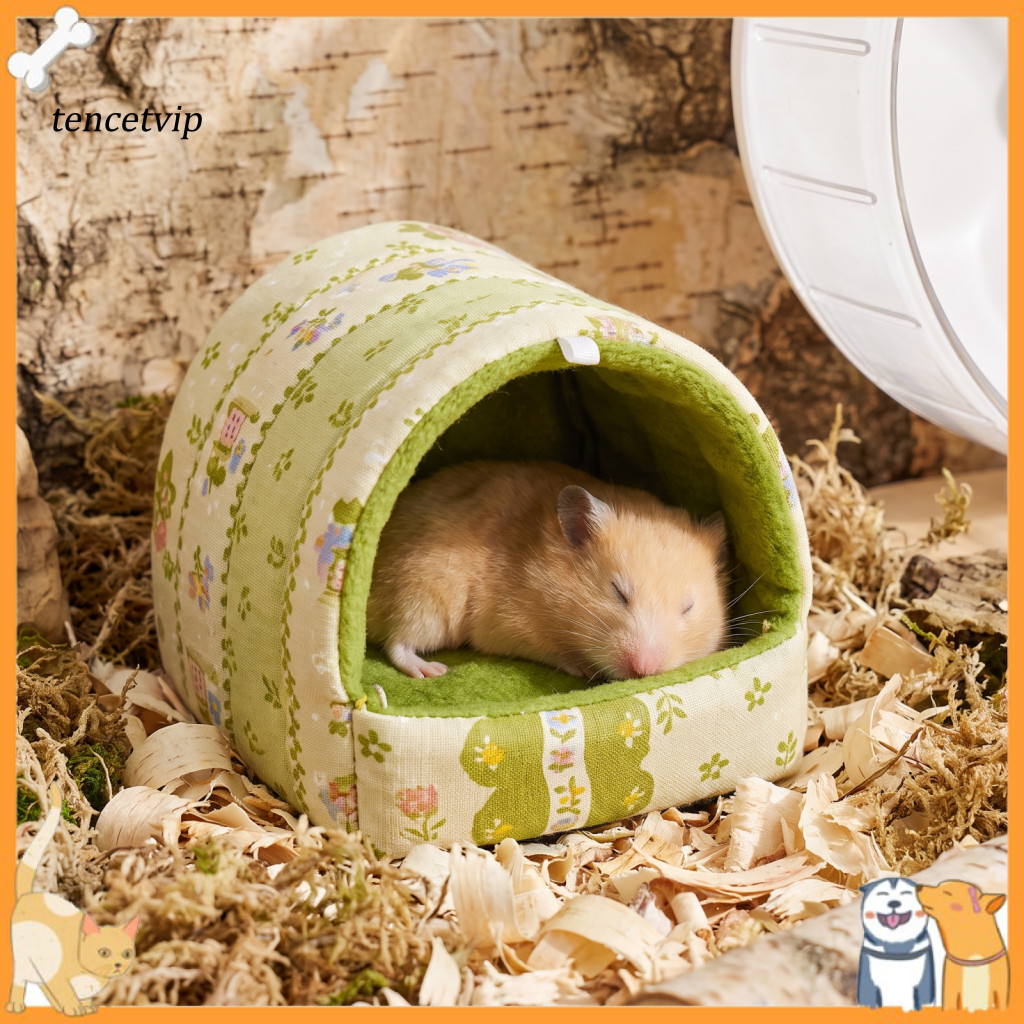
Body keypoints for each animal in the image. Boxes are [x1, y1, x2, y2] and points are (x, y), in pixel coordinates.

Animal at [365, 461, 728, 681]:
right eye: (618, 593)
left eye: (688, 608)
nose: (643, 670)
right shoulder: (511, 623)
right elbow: (555, 652)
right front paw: (583, 668)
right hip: (424, 596)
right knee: (397, 643)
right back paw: (431, 670)